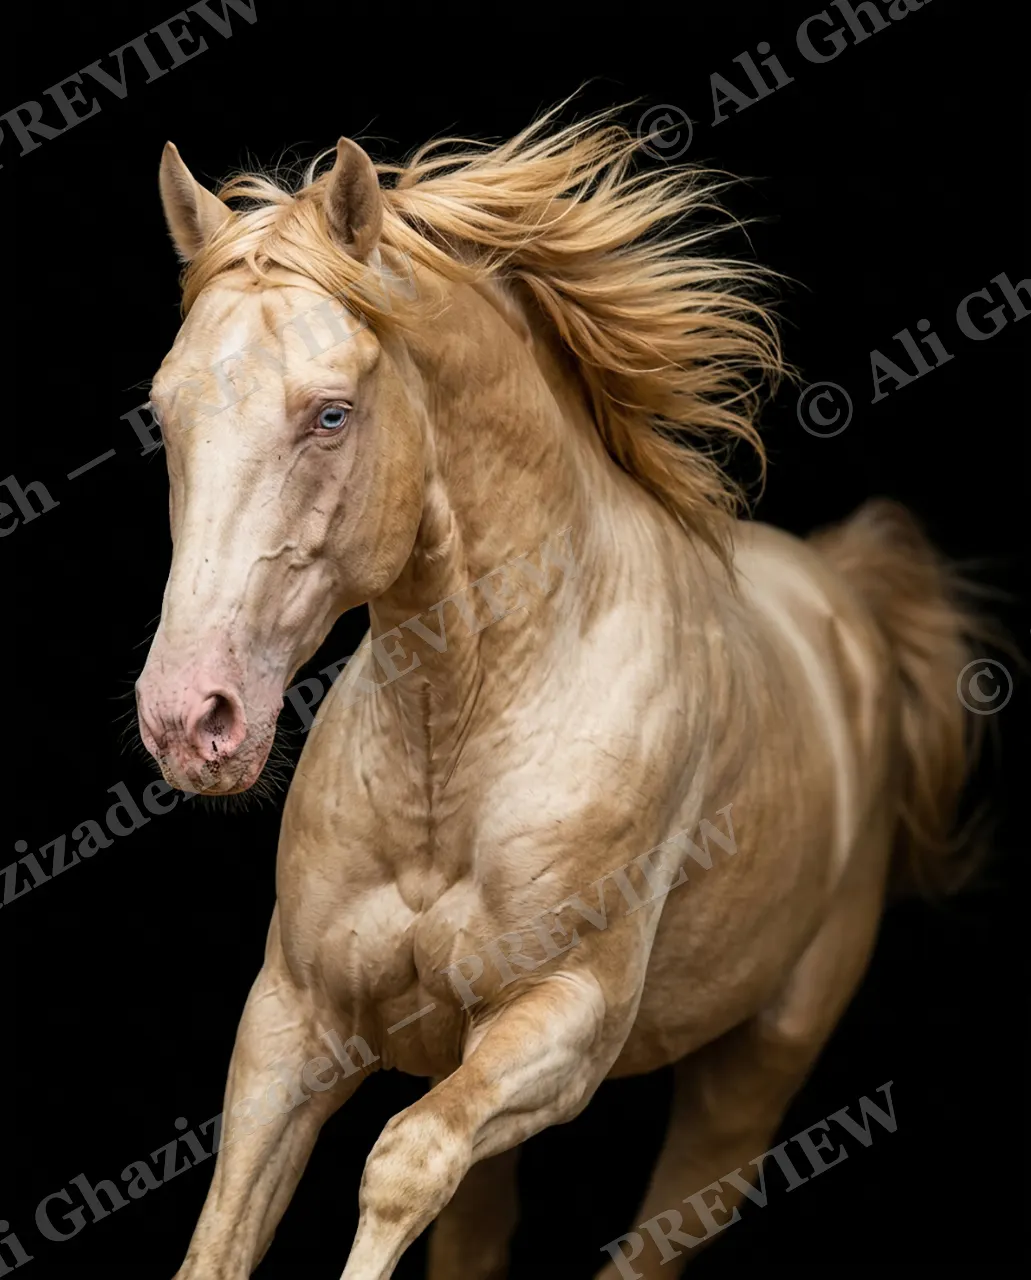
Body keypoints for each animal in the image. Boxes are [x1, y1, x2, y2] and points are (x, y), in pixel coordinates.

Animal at [135, 111, 980, 1280]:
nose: (188, 718)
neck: (461, 733)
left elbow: (401, 1163)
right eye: (164, 413)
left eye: (331, 413)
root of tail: (843, 599)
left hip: (750, 1071)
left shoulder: (565, 1022)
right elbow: (218, 1239)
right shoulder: (294, 1017)